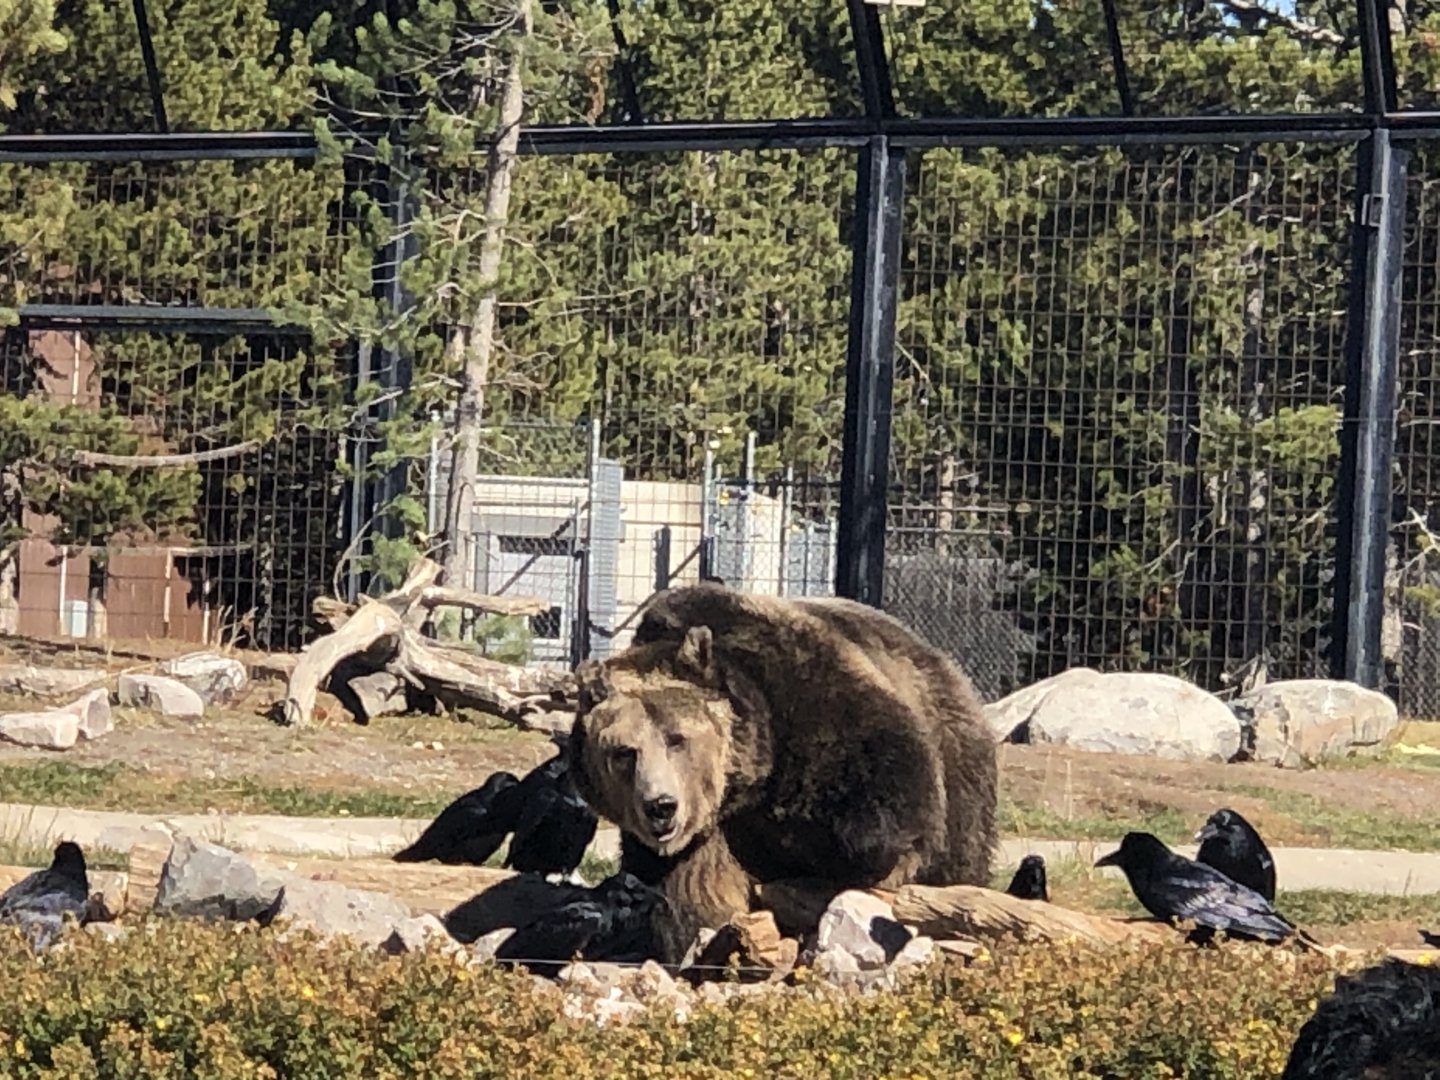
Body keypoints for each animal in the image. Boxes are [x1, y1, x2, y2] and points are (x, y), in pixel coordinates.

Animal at [566, 581, 998, 962]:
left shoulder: (814, 710)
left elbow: (881, 803)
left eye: (677, 739)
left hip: (955, 760)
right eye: (624, 753)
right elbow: (695, 893)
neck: (750, 783)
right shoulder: (704, 835)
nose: (661, 805)